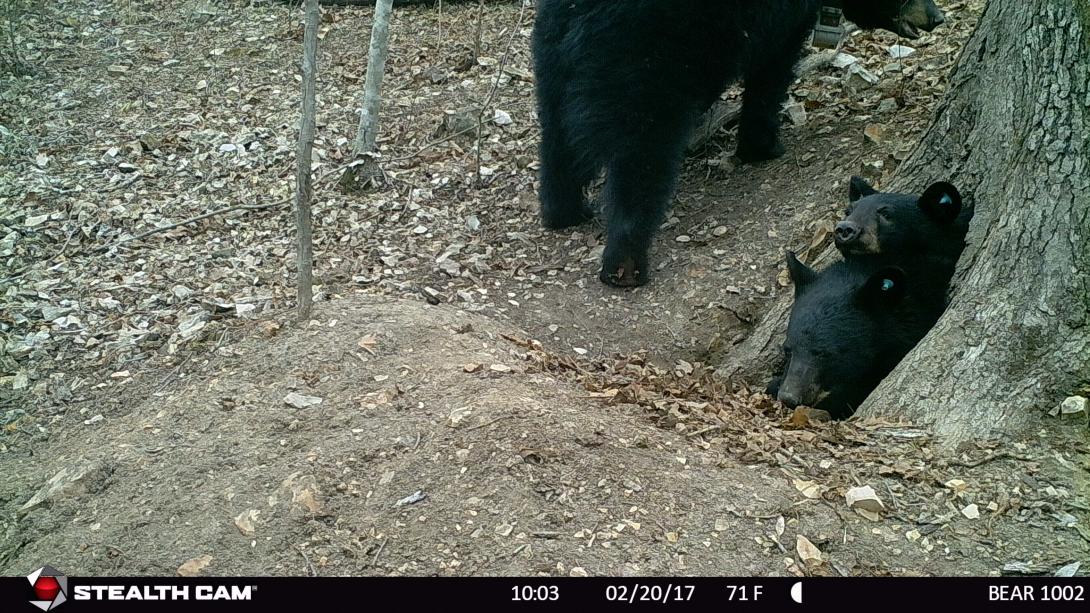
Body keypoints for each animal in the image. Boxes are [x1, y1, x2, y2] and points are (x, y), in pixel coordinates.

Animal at [534, 0, 946, 285]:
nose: (938, 16)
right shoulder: (779, 20)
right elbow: (771, 72)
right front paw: (764, 146)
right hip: (644, 55)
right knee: (641, 157)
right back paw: (626, 266)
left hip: (550, 54)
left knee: (555, 138)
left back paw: (565, 211)